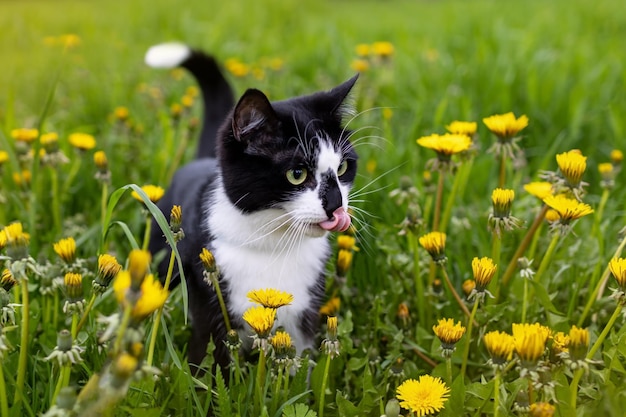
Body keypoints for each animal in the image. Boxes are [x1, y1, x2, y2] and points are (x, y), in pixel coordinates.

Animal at [143, 42, 356, 370]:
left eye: (343, 167)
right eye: (297, 174)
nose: (336, 205)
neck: (274, 245)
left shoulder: (304, 316)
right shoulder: (211, 308)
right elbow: (208, 363)